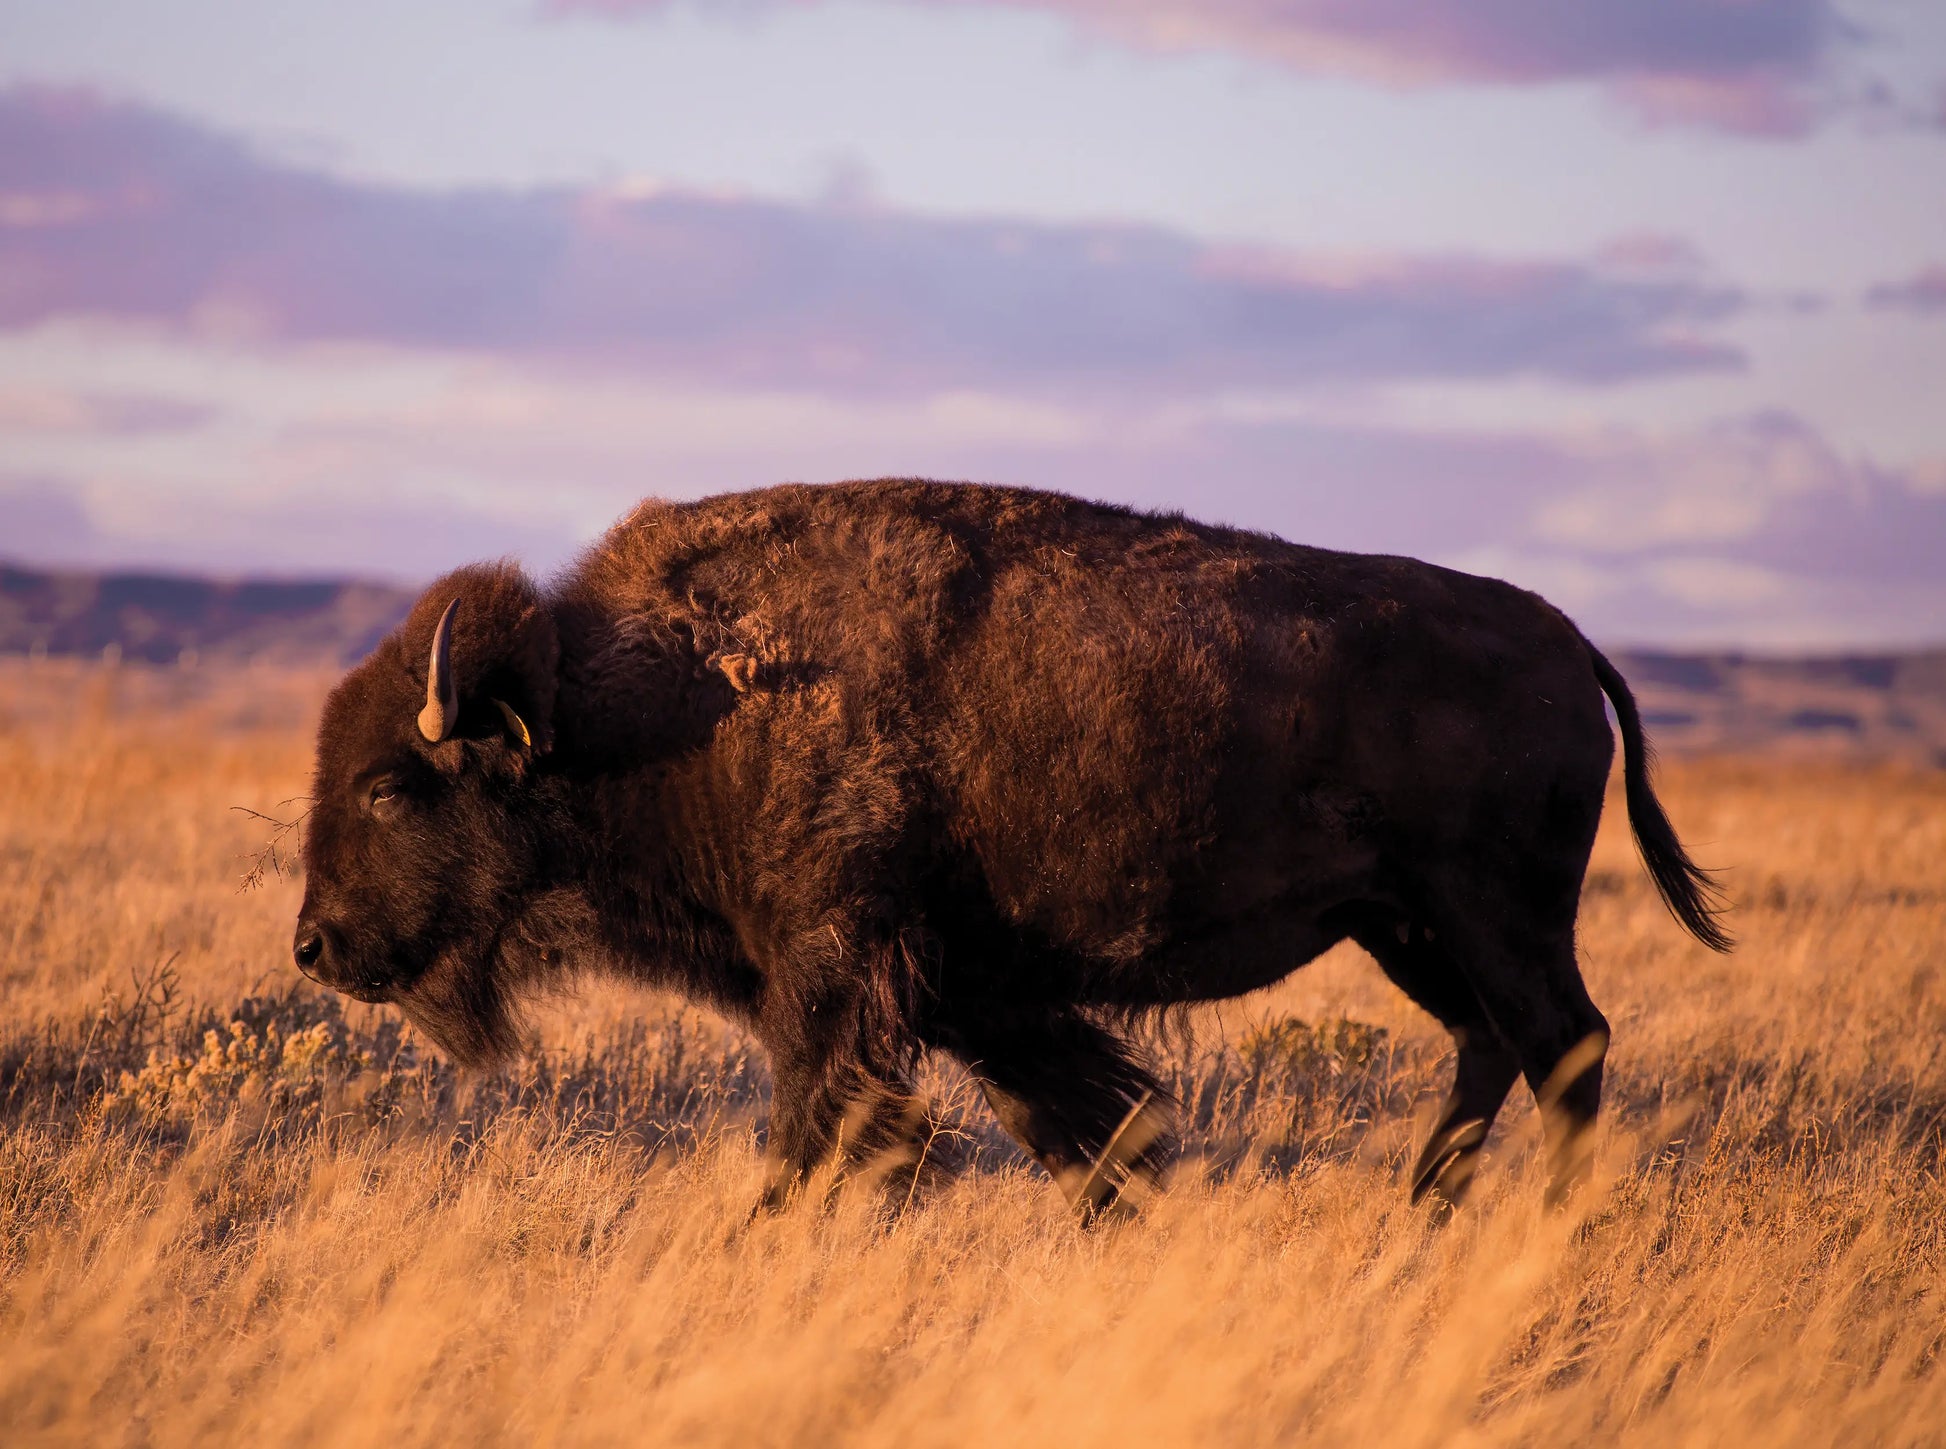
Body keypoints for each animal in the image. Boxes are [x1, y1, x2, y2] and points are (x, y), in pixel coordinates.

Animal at [295, 480, 1729, 1217]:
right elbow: (1076, 1121)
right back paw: (1422, 1214)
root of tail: (1565, 638)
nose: (314, 944)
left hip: (1495, 915)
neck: (651, 701)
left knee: (1562, 1046)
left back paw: (1535, 1228)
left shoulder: (833, 972)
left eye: (387, 788)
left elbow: (819, 1125)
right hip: (1404, 927)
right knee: (1493, 1044)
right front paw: (1125, 1208)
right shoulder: (973, 992)